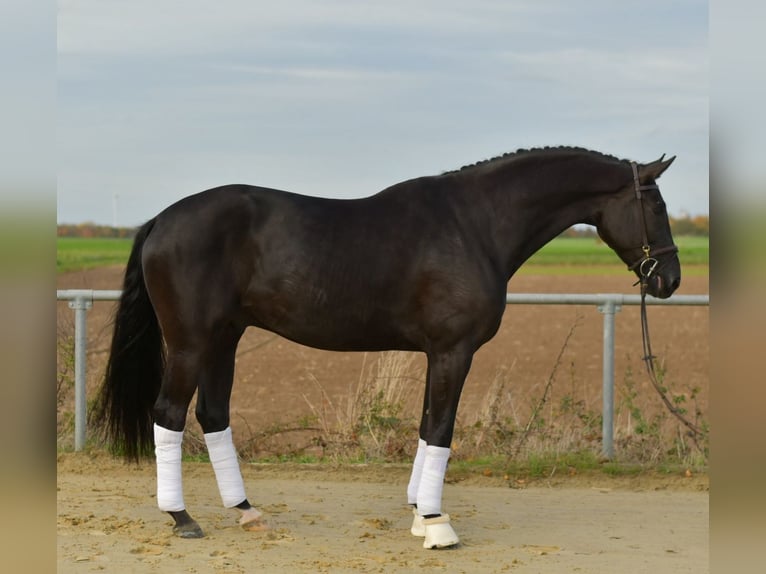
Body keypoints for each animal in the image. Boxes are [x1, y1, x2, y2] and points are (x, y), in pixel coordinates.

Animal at [91, 146, 681, 549]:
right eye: (655, 206)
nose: (669, 279)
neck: (475, 225)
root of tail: (161, 221)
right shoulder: (453, 351)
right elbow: (441, 429)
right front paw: (437, 526)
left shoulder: (438, 353)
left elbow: (425, 427)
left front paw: (420, 513)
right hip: (191, 344)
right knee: (169, 414)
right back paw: (182, 518)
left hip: (224, 340)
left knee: (214, 416)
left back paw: (246, 511)